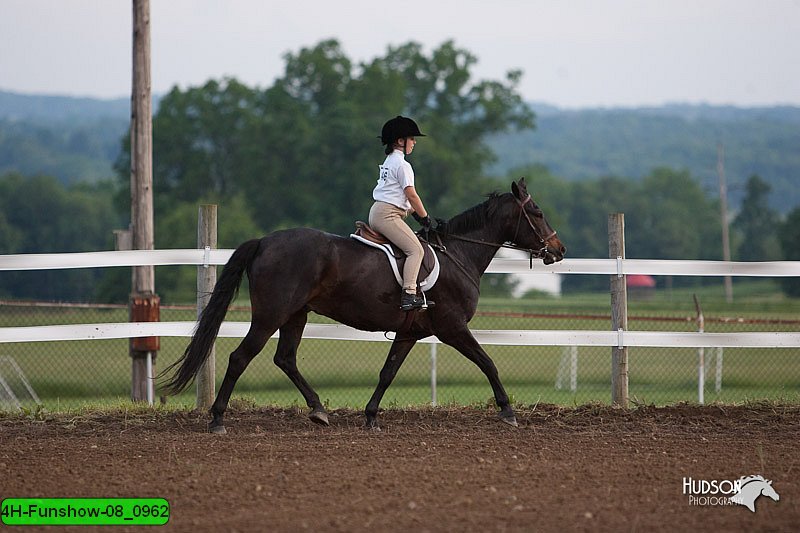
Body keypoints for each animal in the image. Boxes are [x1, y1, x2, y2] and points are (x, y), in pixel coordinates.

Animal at [161, 179, 564, 432]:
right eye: (537, 211)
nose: (559, 250)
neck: (458, 255)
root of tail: (264, 241)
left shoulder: (409, 333)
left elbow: (388, 372)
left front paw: (371, 416)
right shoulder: (452, 328)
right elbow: (488, 362)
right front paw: (508, 411)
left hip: (295, 315)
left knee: (285, 359)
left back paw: (319, 411)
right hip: (269, 316)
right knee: (240, 358)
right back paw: (217, 419)